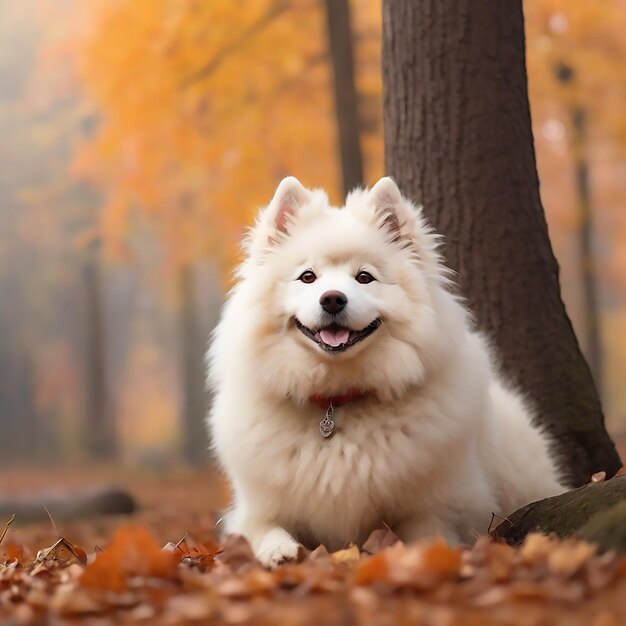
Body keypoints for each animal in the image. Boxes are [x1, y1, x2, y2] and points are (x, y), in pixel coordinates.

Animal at [206, 174, 564, 564]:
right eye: (307, 277)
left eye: (364, 277)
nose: (332, 299)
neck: (337, 404)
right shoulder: (254, 511)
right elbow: (264, 531)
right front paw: (281, 552)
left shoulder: (442, 505)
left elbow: (430, 534)